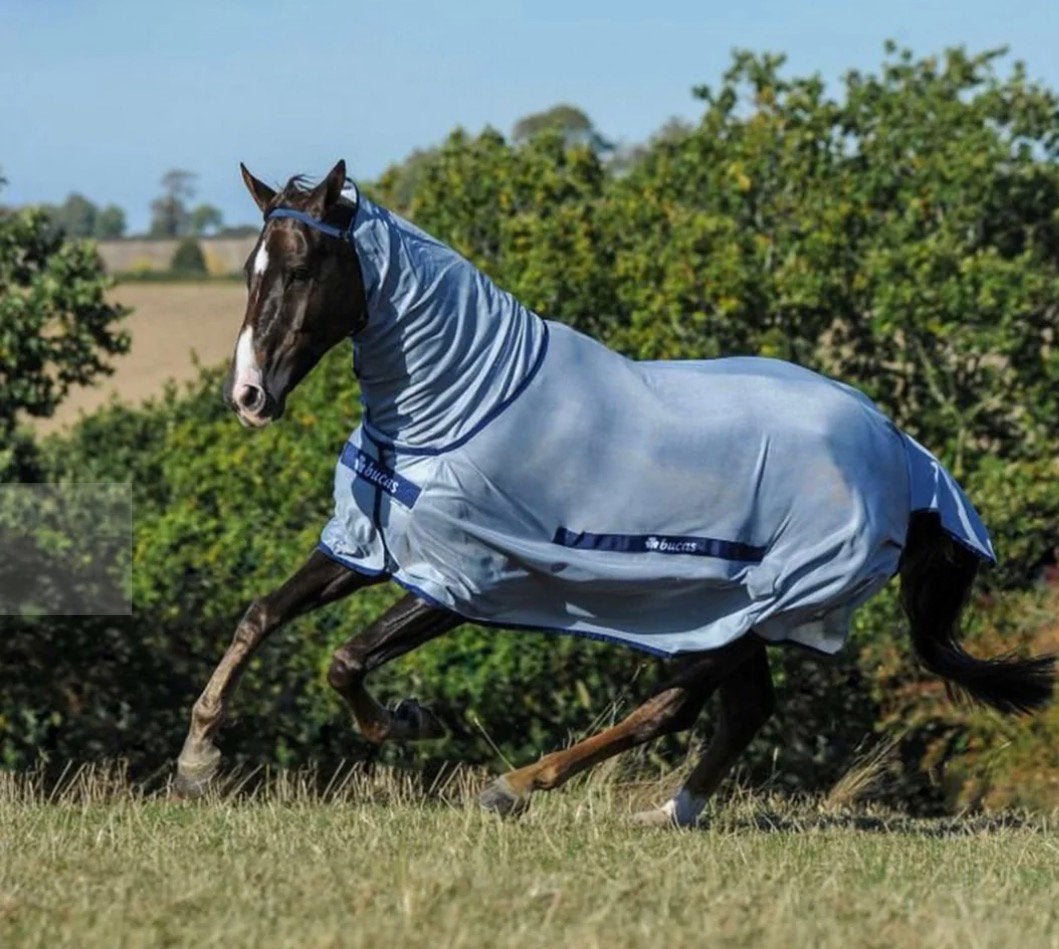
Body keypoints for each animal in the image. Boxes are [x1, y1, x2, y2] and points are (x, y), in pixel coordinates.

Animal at [174, 160, 1056, 826]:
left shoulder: (465, 580)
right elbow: (262, 614)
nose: (249, 396)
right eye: (249, 269)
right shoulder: (368, 546)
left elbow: (344, 658)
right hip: (730, 609)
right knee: (741, 711)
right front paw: (198, 759)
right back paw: (665, 813)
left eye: (299, 269)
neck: (463, 403)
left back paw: (518, 785)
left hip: (757, 609)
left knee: (670, 709)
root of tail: (902, 453)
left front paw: (404, 720)